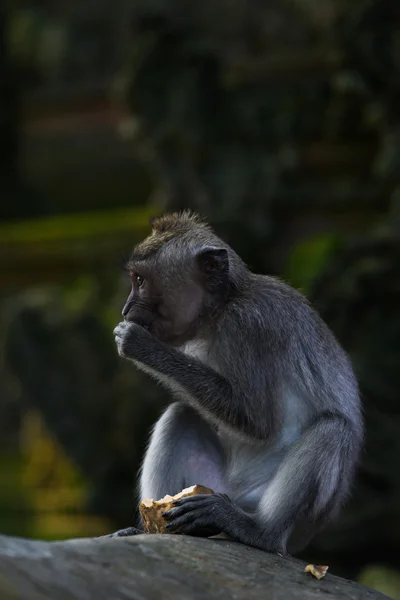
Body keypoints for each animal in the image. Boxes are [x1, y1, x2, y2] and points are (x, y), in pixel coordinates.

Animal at [108, 210, 362, 552]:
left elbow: (256, 420)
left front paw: (142, 346)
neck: (222, 306)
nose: (125, 309)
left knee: (333, 429)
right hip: (212, 485)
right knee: (181, 414)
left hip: (276, 513)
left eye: (140, 281)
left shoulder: (247, 326)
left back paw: (258, 530)